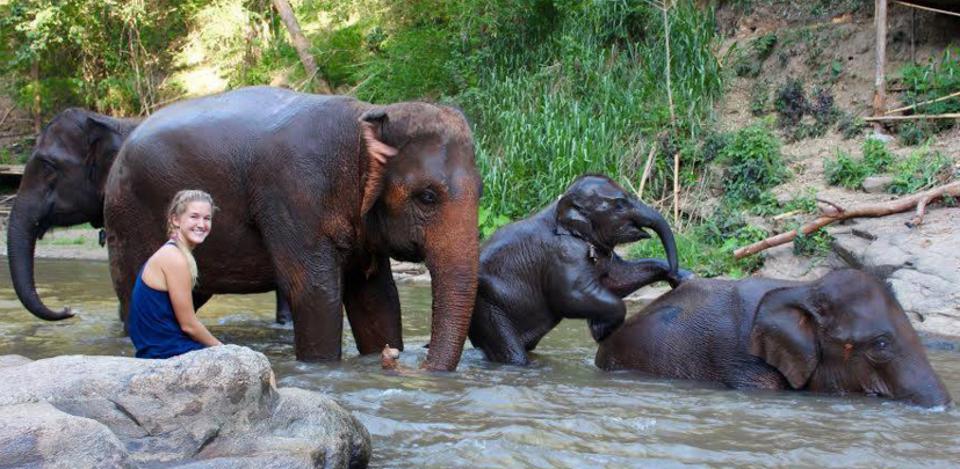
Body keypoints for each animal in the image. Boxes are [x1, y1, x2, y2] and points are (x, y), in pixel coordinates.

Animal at [104, 86, 481, 370]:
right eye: (427, 197)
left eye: (481, 192)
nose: (399, 359)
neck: (366, 117)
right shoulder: (294, 195)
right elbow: (315, 291)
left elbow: (377, 296)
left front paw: (377, 352)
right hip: (128, 219)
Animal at [468, 175, 684, 365]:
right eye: (620, 204)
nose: (674, 275)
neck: (559, 207)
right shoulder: (564, 253)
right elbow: (570, 297)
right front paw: (600, 331)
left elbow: (617, 279)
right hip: (490, 309)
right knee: (512, 352)